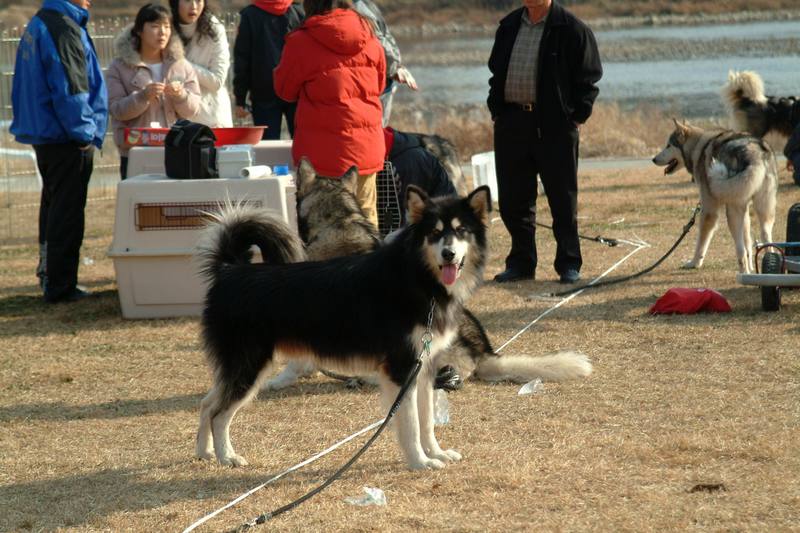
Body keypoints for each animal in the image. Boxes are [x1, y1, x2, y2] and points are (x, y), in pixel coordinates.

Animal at [196, 184, 490, 470]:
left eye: (461, 230)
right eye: (435, 233)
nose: (448, 254)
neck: (417, 276)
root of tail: (229, 269)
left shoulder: (425, 368)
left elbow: (426, 421)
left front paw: (436, 453)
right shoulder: (401, 369)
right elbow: (411, 426)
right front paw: (419, 462)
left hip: (238, 368)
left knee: (207, 404)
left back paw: (204, 452)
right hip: (248, 367)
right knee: (219, 414)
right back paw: (227, 457)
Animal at [652, 119, 780, 272]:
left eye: (668, 145)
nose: (653, 159)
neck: (698, 148)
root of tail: (755, 153)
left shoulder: (709, 211)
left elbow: (702, 242)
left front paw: (694, 263)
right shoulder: (745, 209)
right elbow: (748, 242)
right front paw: (751, 268)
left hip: (732, 212)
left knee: (740, 250)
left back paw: (743, 272)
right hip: (763, 210)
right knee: (765, 237)